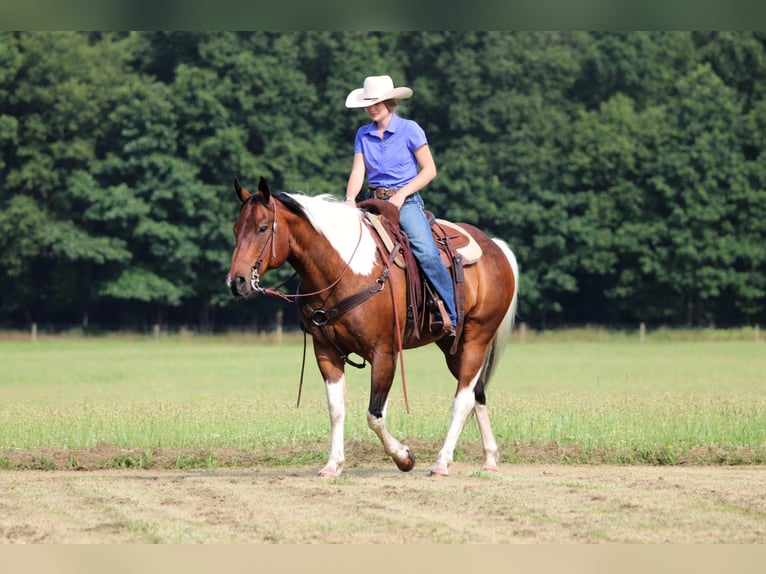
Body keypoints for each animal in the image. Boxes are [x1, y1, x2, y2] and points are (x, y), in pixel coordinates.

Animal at [226, 177, 519, 477]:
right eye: (236, 229)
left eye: (262, 228)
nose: (236, 281)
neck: (344, 269)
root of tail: (495, 246)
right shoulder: (326, 352)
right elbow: (336, 409)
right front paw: (333, 464)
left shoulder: (384, 353)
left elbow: (374, 415)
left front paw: (404, 457)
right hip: (452, 345)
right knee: (477, 393)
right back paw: (490, 459)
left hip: (476, 339)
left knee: (462, 400)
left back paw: (441, 462)